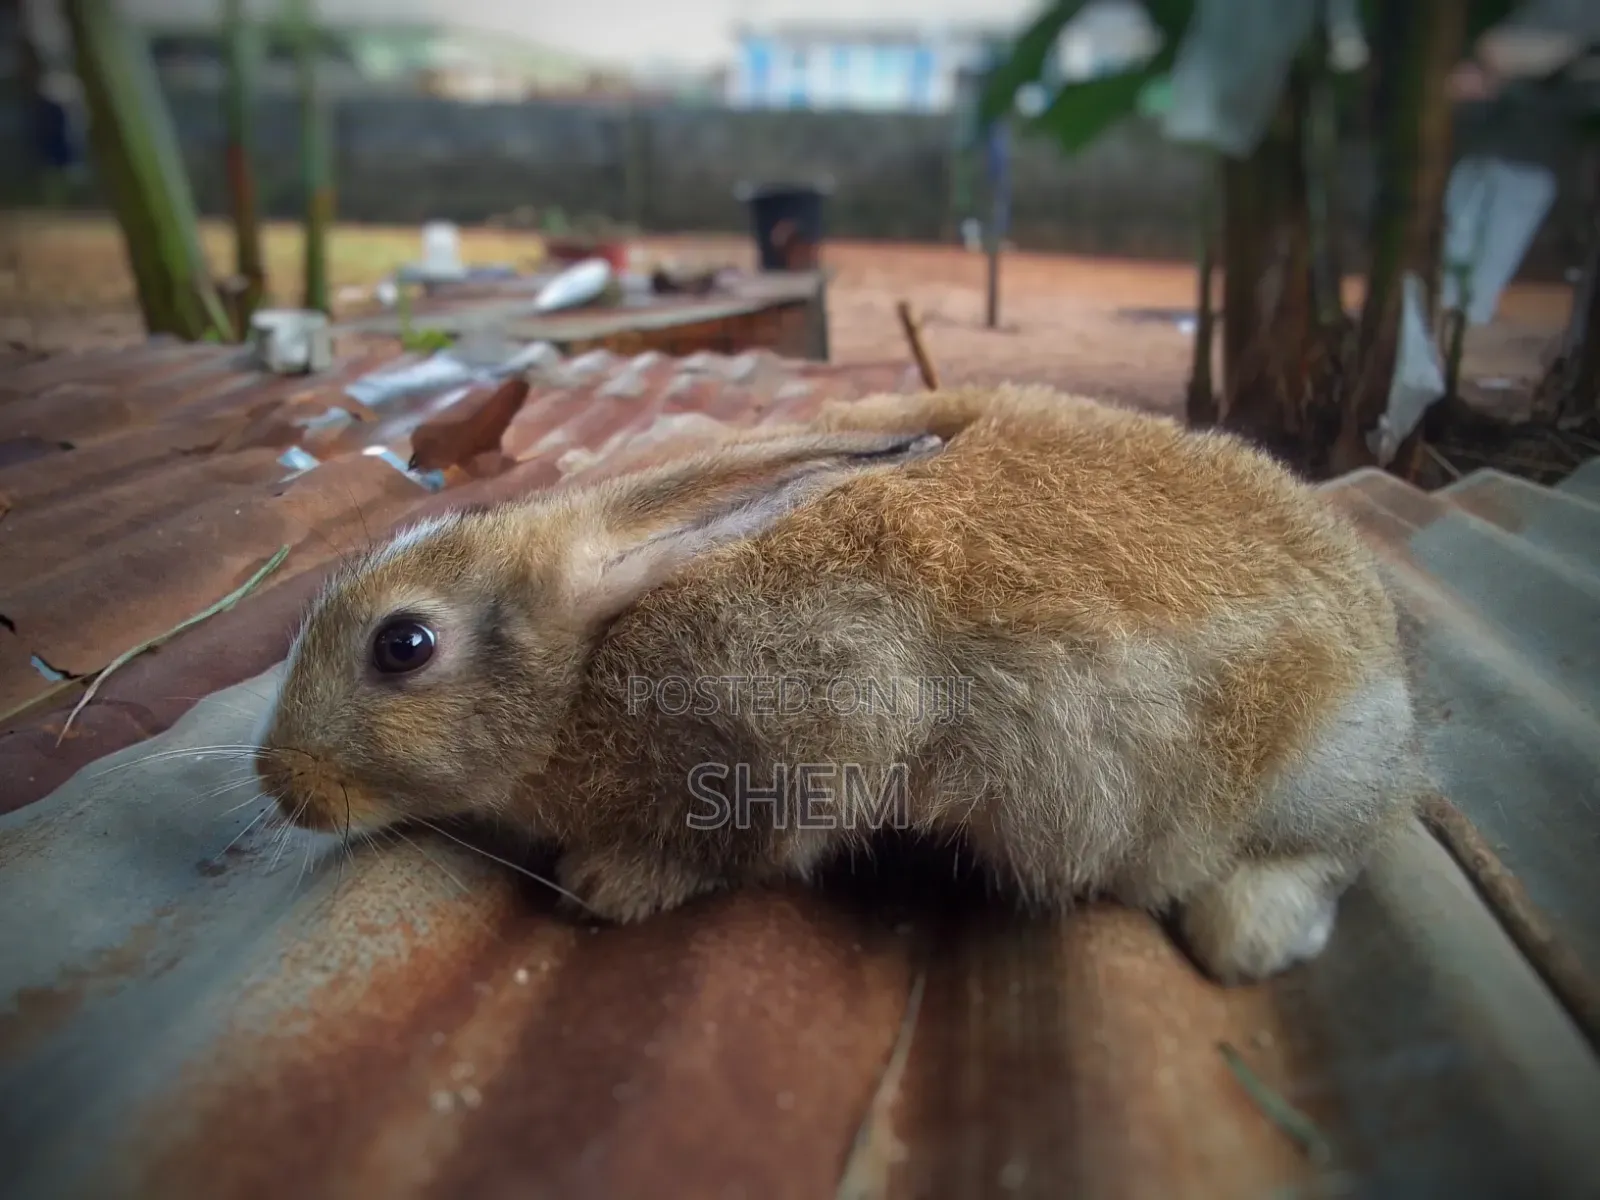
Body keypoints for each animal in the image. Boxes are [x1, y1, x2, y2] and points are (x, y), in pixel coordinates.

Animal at [254, 384, 1427, 984]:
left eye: (403, 645)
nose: (278, 782)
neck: (587, 664)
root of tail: (1387, 678)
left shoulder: (803, 735)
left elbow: (735, 847)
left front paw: (607, 885)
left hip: (1297, 775)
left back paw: (1249, 934)